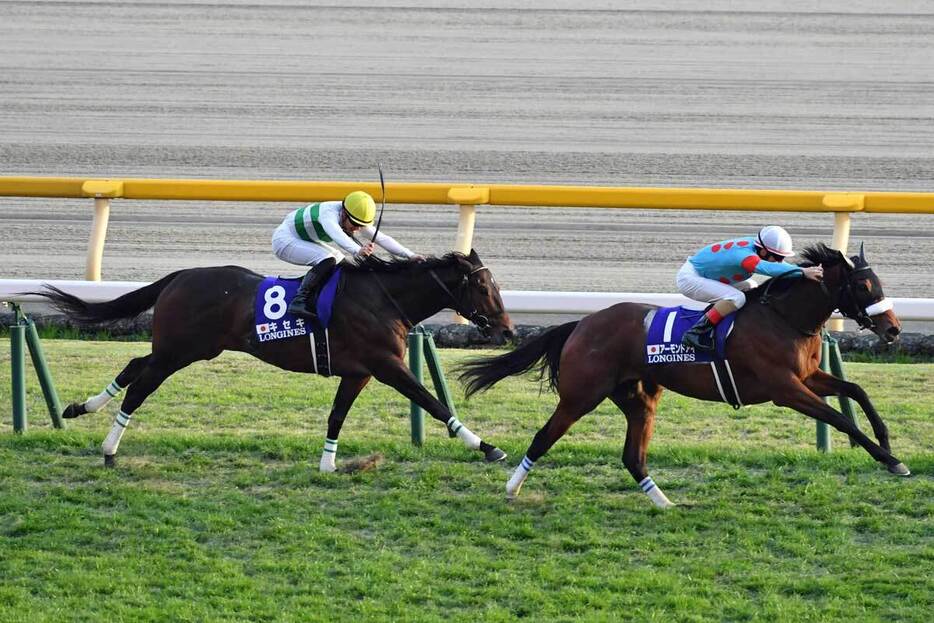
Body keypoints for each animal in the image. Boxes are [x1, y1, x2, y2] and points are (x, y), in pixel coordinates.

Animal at [33, 250, 514, 470]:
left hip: (179, 348)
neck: (384, 298)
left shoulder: (359, 372)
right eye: (483, 287)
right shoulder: (386, 367)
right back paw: (109, 447)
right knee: (141, 385)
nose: (508, 329)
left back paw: (79, 408)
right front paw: (486, 446)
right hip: (181, 351)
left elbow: (337, 415)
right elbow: (433, 403)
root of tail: (180, 276)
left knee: (135, 364)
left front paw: (328, 464)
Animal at [458, 243, 908, 507]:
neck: (784, 317)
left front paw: (887, 443)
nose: (893, 329)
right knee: (544, 436)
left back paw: (663, 503)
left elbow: (856, 389)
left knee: (633, 457)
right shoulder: (785, 388)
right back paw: (512, 487)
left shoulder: (809, 377)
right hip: (582, 395)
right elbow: (836, 416)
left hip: (639, 396)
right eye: (864, 286)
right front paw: (889, 459)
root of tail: (581, 323)